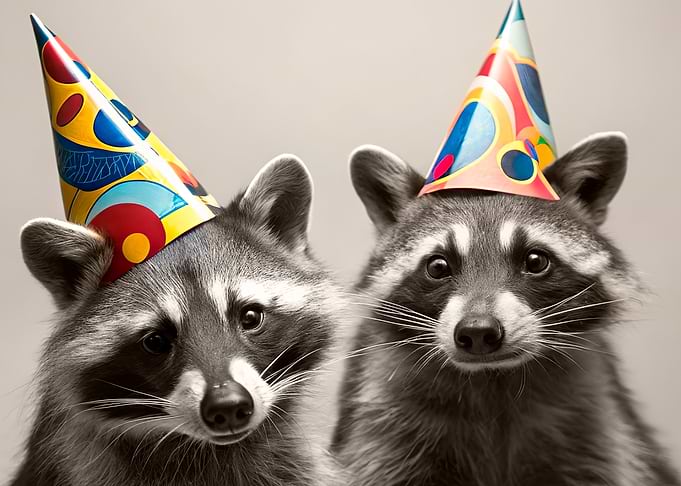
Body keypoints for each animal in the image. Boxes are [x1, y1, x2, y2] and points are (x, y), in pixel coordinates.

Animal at [332, 133, 681, 486]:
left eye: (535, 261)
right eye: (438, 266)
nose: (478, 332)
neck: (493, 378)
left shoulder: (598, 430)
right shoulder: (381, 426)